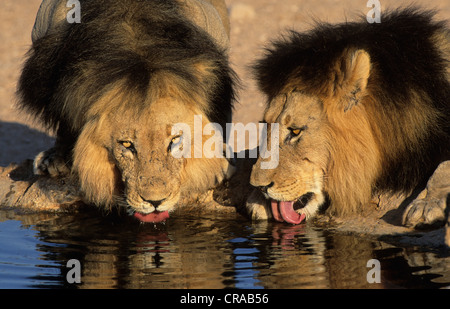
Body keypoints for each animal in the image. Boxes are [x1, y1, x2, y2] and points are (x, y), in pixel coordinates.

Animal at [246, 7, 450, 224]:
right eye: (265, 125)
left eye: (295, 131)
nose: (259, 186)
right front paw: (257, 200)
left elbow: (442, 168)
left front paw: (427, 203)